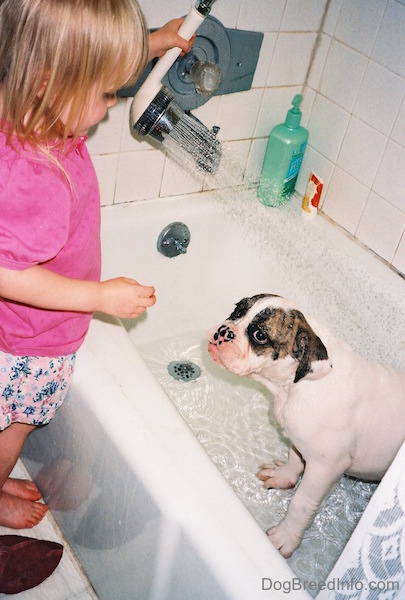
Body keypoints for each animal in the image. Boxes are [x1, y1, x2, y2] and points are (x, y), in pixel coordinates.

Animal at [208, 294, 404, 556]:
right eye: (237, 310)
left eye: (259, 335)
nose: (223, 331)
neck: (293, 386)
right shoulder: (299, 440)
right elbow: (294, 457)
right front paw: (283, 476)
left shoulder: (325, 468)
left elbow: (301, 503)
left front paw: (285, 536)